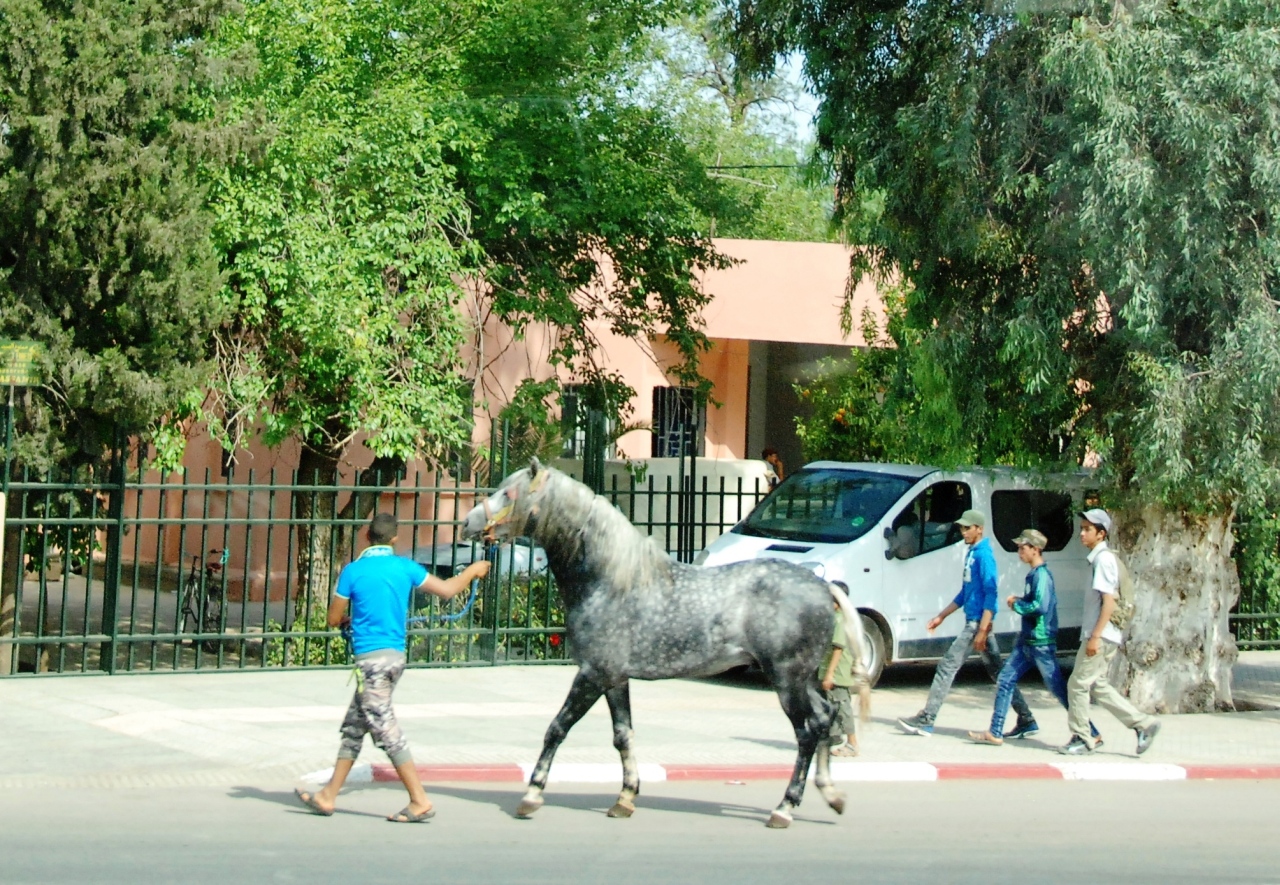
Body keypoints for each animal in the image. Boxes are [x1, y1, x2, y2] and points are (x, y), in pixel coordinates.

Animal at [460, 458, 871, 828]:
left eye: (508, 493)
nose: (467, 523)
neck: (609, 581)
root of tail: (825, 588)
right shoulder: (614, 679)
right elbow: (622, 735)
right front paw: (625, 798)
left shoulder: (591, 674)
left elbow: (557, 728)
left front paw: (532, 794)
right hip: (802, 679)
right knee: (826, 718)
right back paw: (831, 794)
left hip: (786, 680)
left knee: (808, 730)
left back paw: (784, 808)